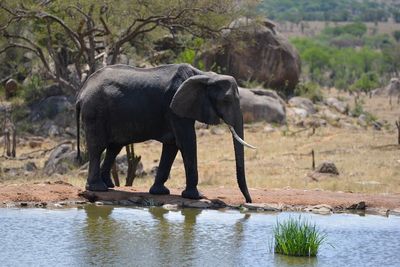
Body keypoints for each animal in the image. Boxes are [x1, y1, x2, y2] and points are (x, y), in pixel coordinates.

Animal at [76, 63, 253, 204]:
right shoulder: (174, 108)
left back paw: (110, 185)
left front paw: (160, 192)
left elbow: (172, 145)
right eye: (226, 101)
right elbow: (187, 142)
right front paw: (196, 196)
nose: (248, 201)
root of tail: (82, 91)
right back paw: (98, 188)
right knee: (98, 147)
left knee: (114, 148)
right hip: (95, 112)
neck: (205, 75)